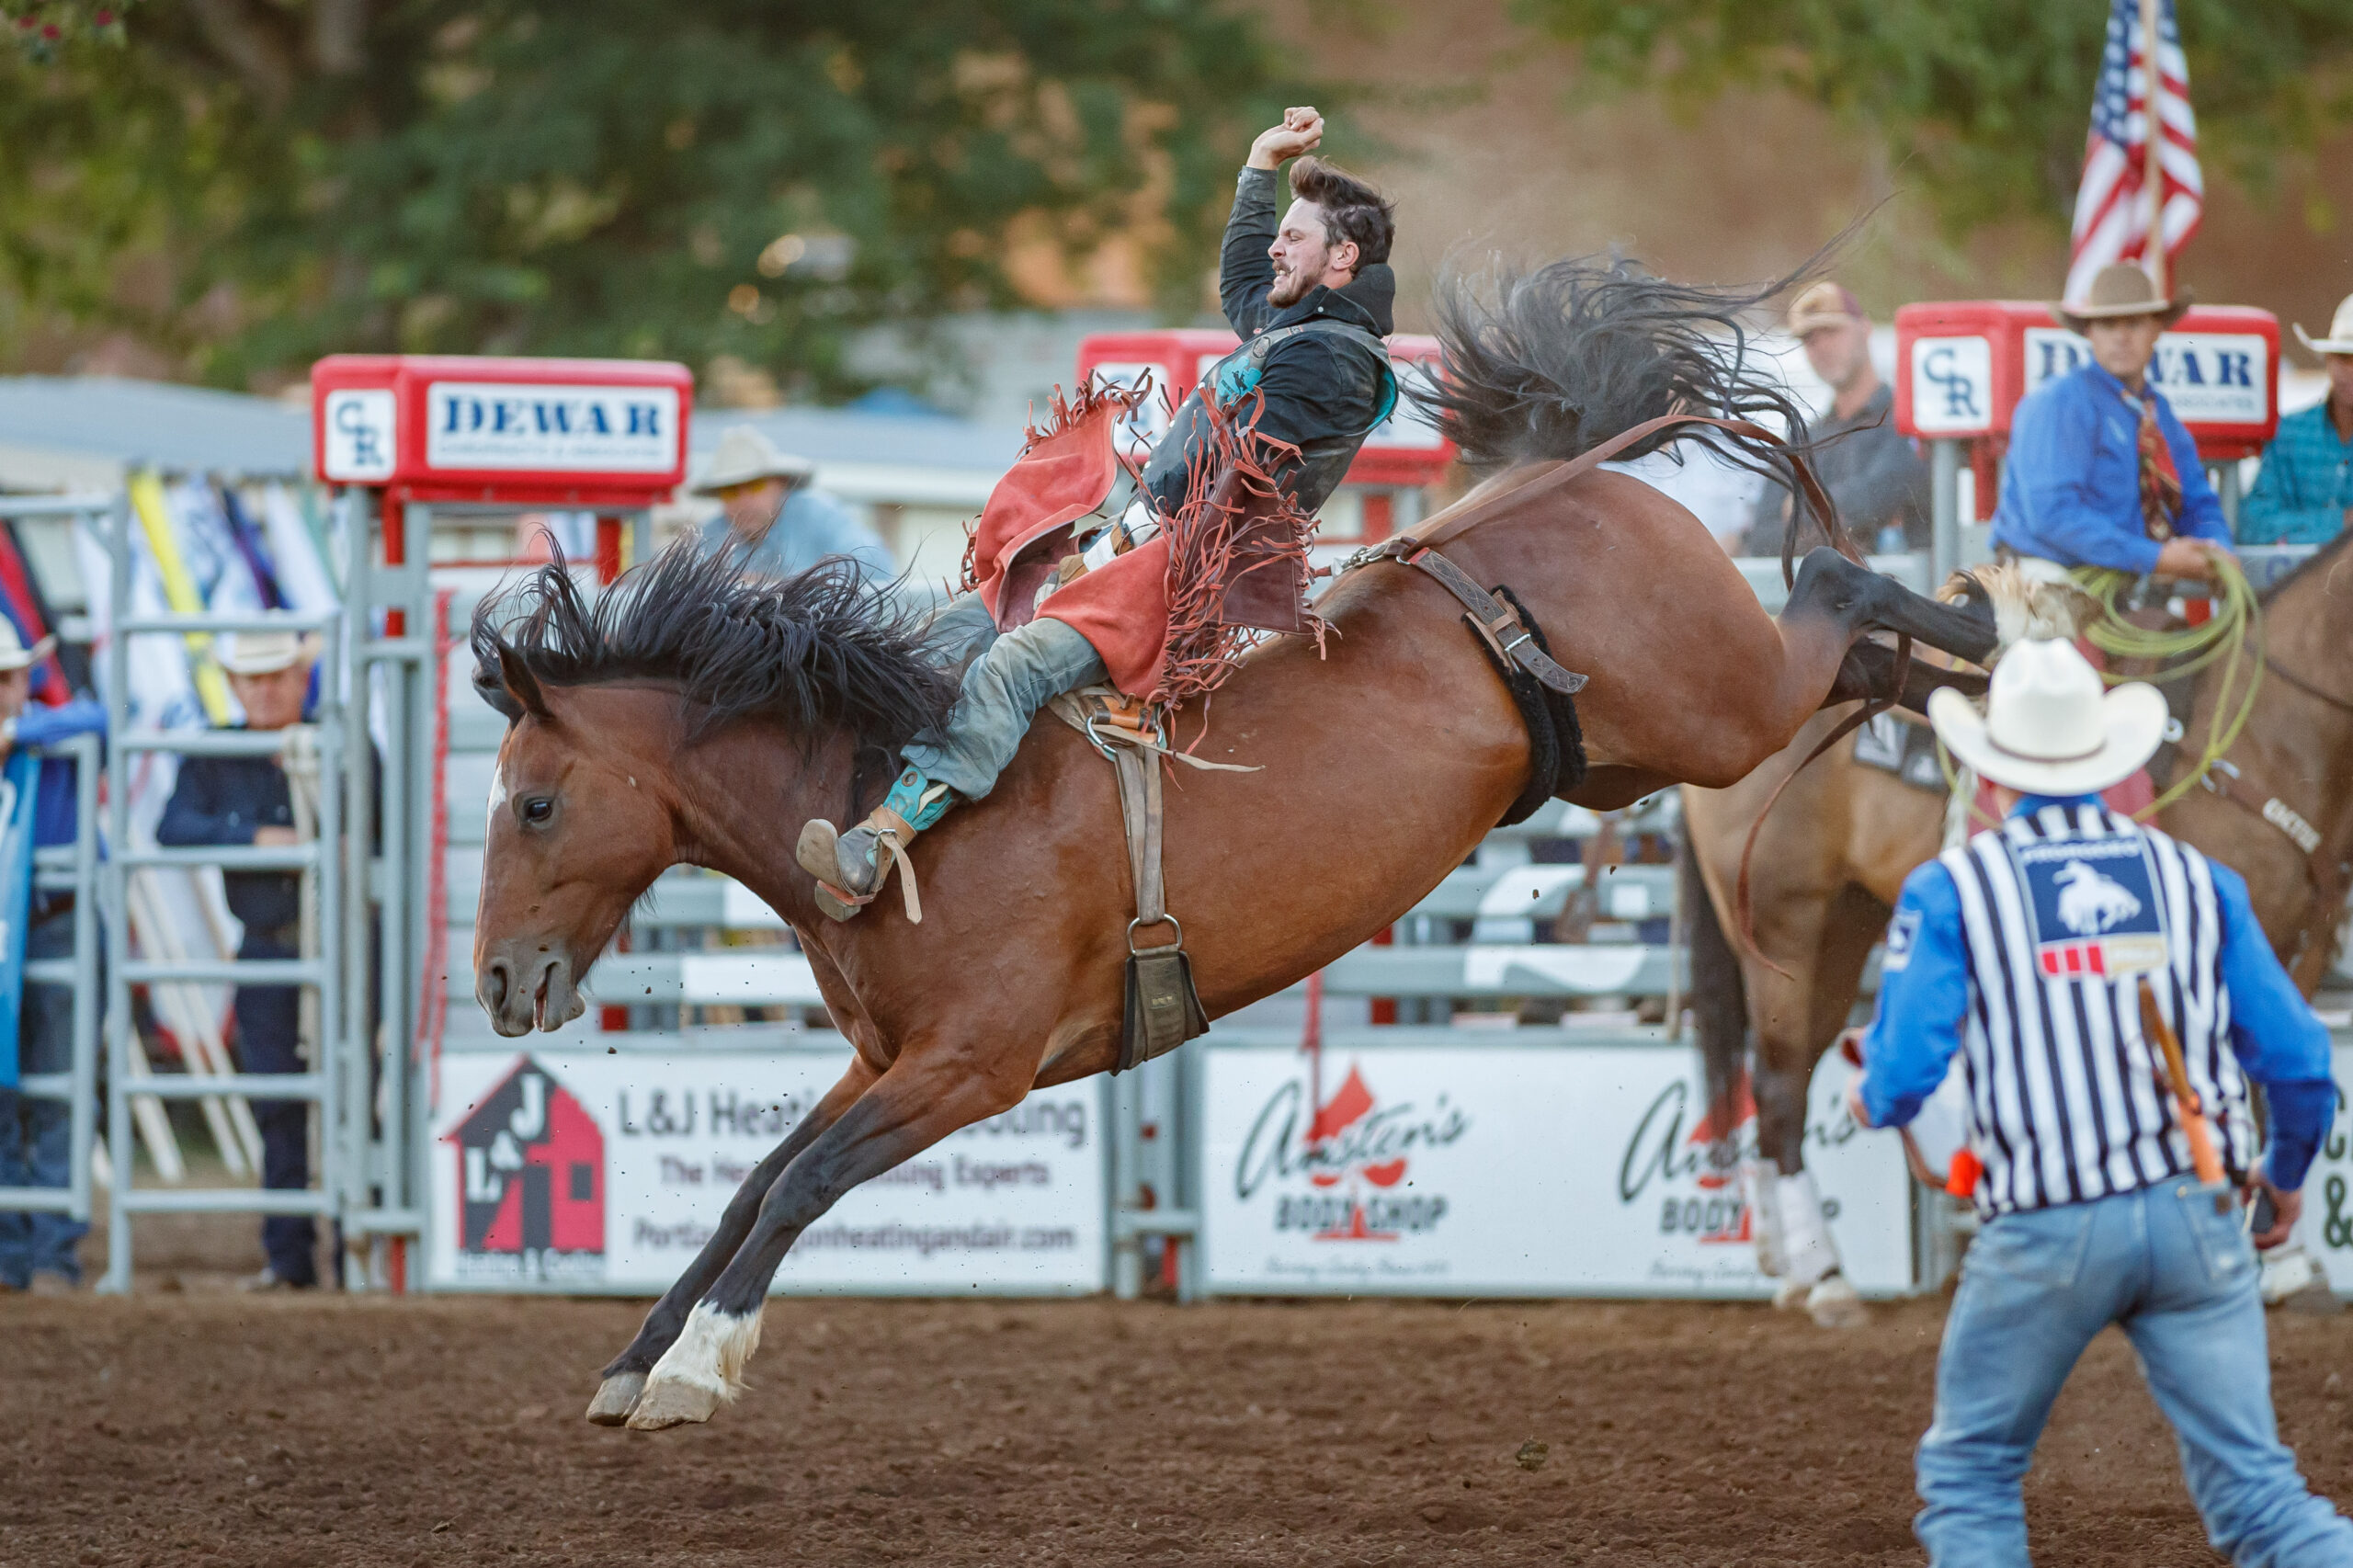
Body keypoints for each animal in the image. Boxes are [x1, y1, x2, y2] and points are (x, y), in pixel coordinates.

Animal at [468, 258, 1995, 1431]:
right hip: (1664, 747)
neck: (882, 795)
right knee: (1861, 658)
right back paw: (1976, 682)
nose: (494, 981)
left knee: (1835, 585)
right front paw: (634, 1359)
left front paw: (694, 1369)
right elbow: (748, 1185)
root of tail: (1573, 479)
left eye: (534, 801)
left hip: (1723, 710)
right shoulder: (884, 1059)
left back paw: (1985, 627)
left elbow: (800, 1183)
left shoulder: (971, 1065)